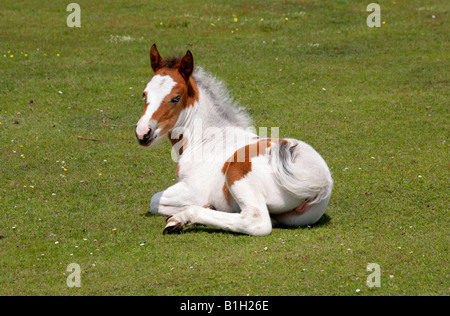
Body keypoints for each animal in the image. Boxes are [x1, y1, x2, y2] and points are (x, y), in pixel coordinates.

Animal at [135, 45, 332, 236]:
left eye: (176, 98)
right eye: (145, 94)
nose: (143, 133)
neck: (207, 139)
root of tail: (317, 180)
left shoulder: (194, 190)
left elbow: (155, 201)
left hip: (237, 173)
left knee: (256, 222)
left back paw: (180, 220)